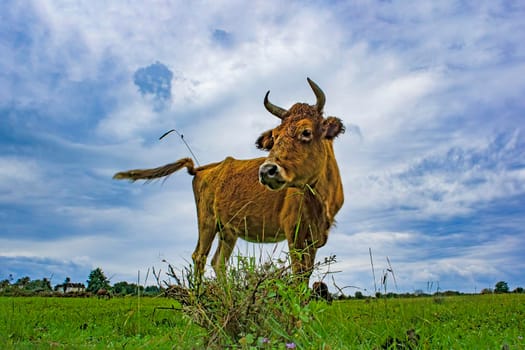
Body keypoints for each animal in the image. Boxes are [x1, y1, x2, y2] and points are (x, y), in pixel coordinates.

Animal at [113, 78, 344, 284]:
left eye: (306, 131)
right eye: (275, 136)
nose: (267, 171)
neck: (319, 200)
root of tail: (203, 168)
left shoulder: (313, 239)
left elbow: (306, 274)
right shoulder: (293, 234)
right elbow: (298, 273)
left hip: (227, 231)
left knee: (218, 262)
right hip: (207, 222)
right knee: (200, 256)